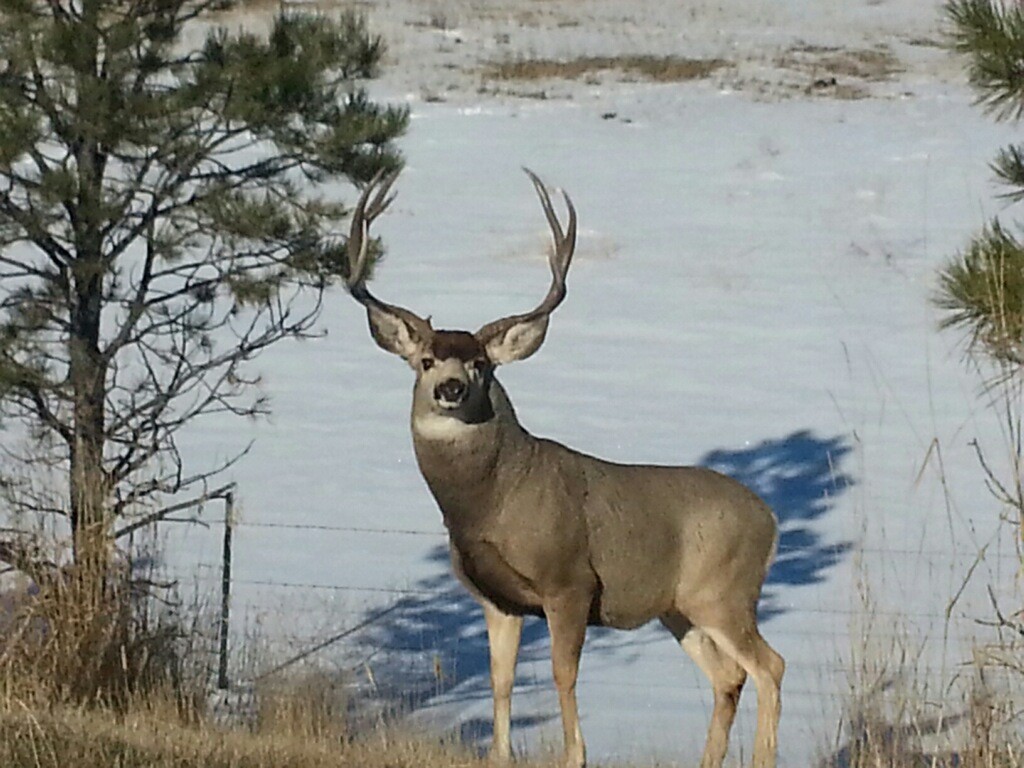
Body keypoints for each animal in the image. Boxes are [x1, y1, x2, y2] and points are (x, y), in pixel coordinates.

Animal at [344, 169, 782, 768]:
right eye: (426, 360)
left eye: (480, 364)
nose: (450, 388)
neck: (489, 504)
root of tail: (771, 520)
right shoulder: (497, 599)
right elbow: (500, 680)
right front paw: (500, 754)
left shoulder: (569, 581)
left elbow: (562, 675)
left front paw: (575, 755)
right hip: (680, 607)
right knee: (729, 676)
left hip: (724, 591)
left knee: (770, 667)